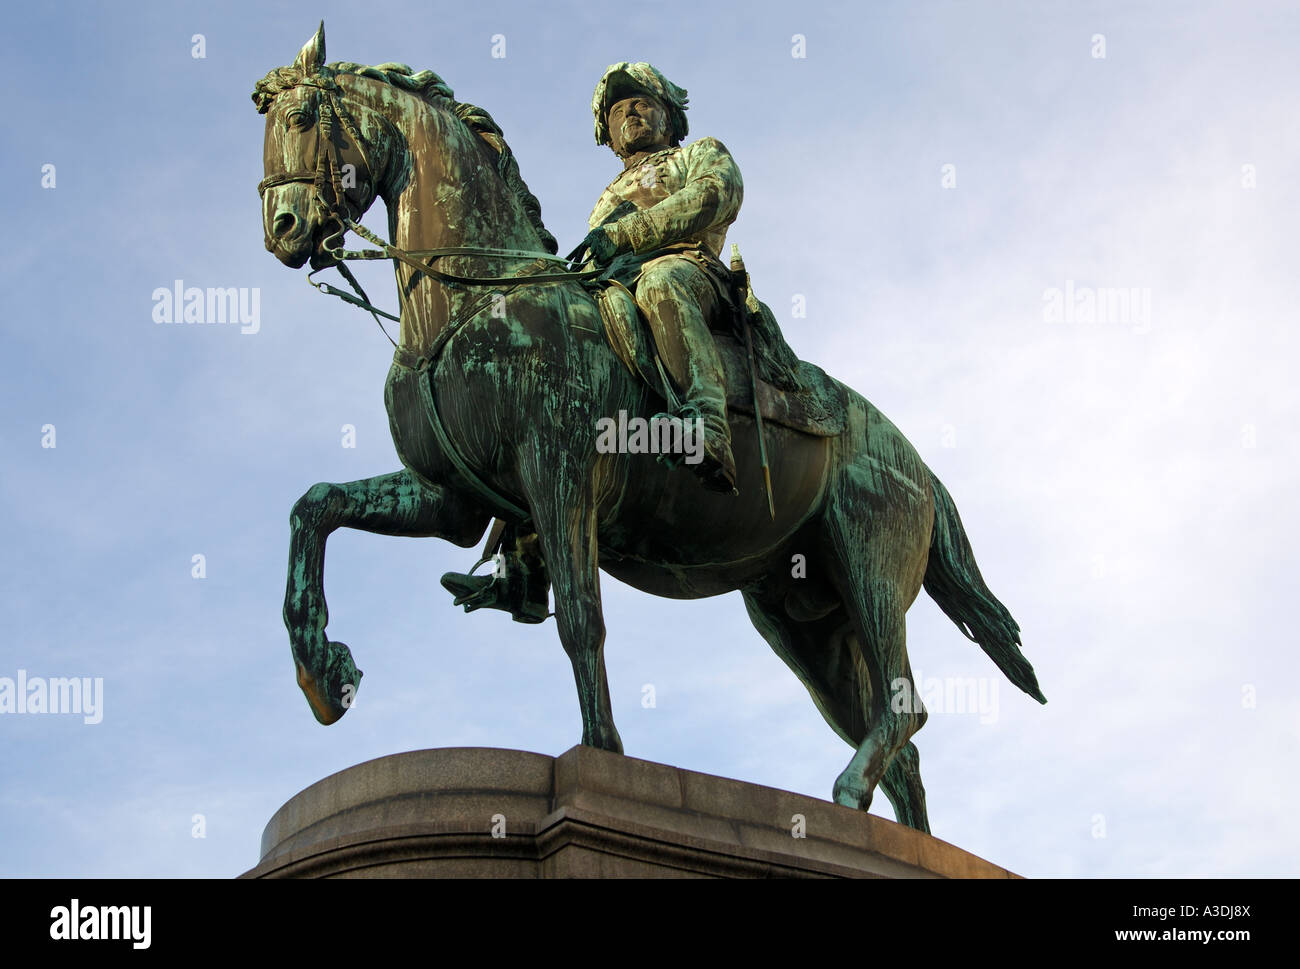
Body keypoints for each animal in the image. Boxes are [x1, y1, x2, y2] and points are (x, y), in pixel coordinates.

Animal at [253, 26, 1045, 837]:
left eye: (303, 119)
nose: (282, 230)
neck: (478, 301)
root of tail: (915, 461)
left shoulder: (560, 473)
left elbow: (581, 618)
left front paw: (602, 755)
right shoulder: (452, 500)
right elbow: (314, 507)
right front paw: (322, 670)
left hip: (869, 567)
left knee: (903, 705)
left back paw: (849, 794)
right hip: (801, 618)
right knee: (899, 743)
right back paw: (889, 834)